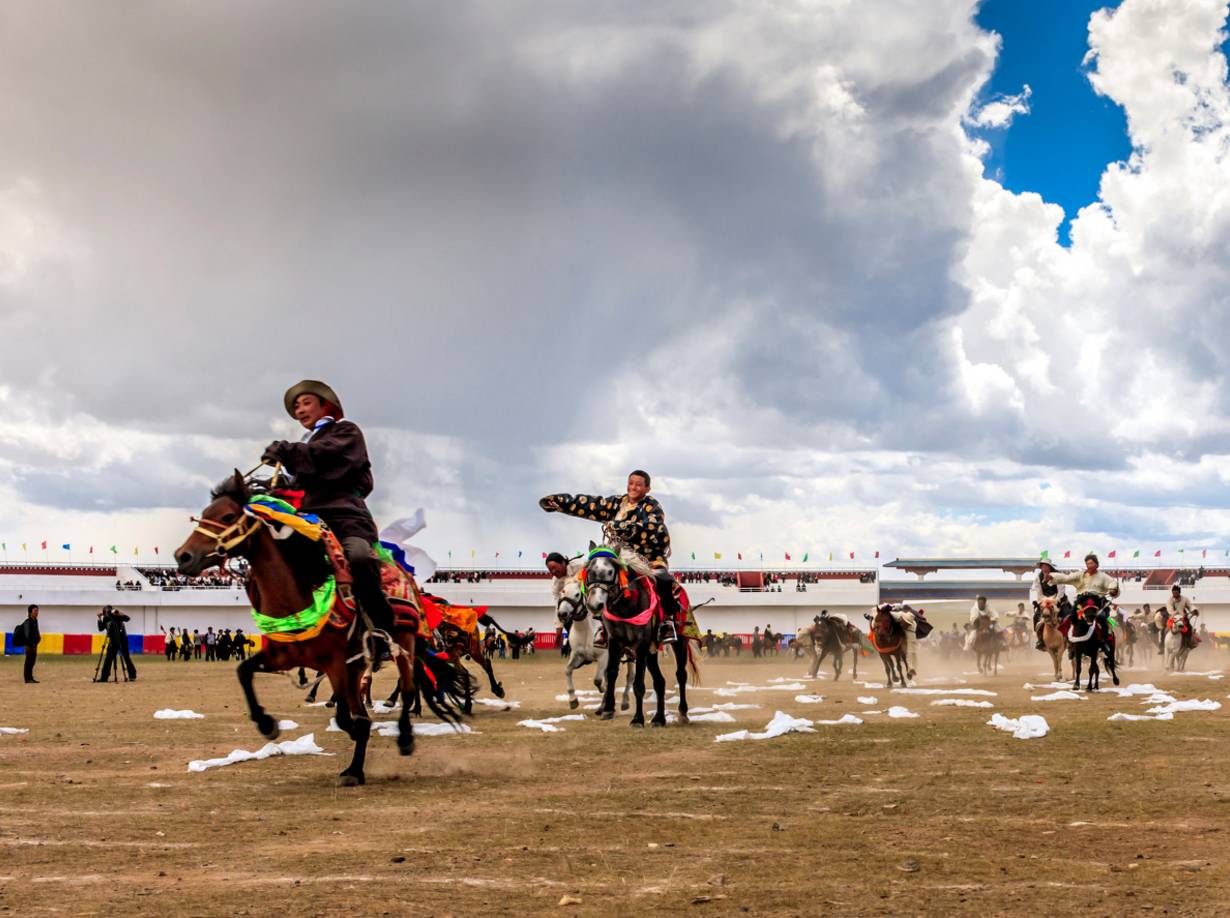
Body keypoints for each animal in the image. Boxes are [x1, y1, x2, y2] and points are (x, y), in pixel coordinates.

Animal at [178, 472, 452, 787]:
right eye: (205, 514)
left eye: (228, 516)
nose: (183, 556)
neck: (296, 597)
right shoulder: (283, 657)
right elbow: (243, 671)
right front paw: (267, 724)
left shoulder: (335, 663)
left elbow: (348, 718)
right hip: (358, 665)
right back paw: (354, 769)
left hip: (402, 643)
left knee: (407, 689)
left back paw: (404, 739)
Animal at [560, 575, 634, 713]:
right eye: (563, 591)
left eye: (577, 594)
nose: (562, 614)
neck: (585, 630)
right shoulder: (577, 656)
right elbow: (567, 670)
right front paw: (573, 700)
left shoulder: (604, 657)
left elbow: (598, 680)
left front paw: (604, 690)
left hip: (630, 654)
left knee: (630, 676)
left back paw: (624, 702)